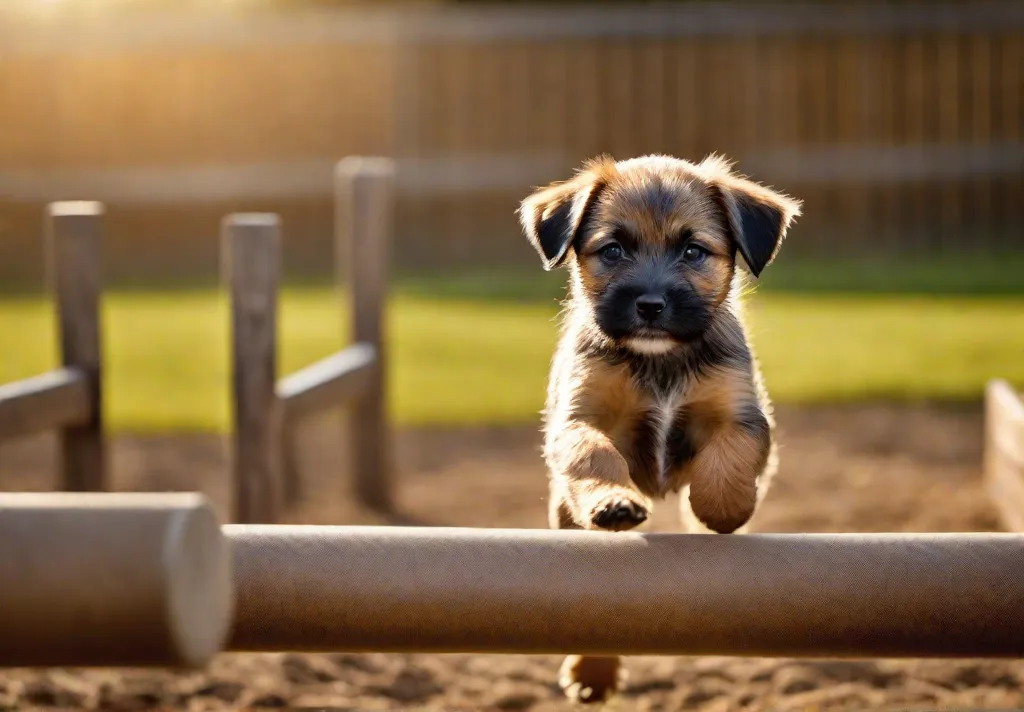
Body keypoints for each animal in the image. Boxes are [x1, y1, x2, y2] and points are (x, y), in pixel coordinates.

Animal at [516, 153, 794, 704]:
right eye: (613, 249)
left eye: (693, 251)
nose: (650, 304)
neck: (660, 361)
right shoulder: (579, 418)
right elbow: (596, 454)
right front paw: (613, 502)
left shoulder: (743, 414)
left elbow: (727, 459)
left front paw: (722, 510)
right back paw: (593, 671)